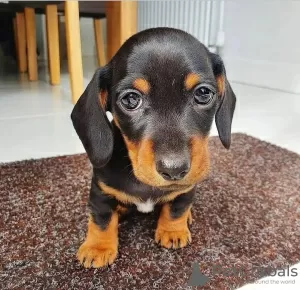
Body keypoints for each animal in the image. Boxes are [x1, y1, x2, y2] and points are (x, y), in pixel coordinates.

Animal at [71, 27, 236, 268]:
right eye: (131, 99)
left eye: (203, 93)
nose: (174, 170)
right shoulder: (101, 190)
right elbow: (101, 218)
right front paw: (98, 247)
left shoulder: (186, 189)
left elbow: (177, 207)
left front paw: (173, 230)